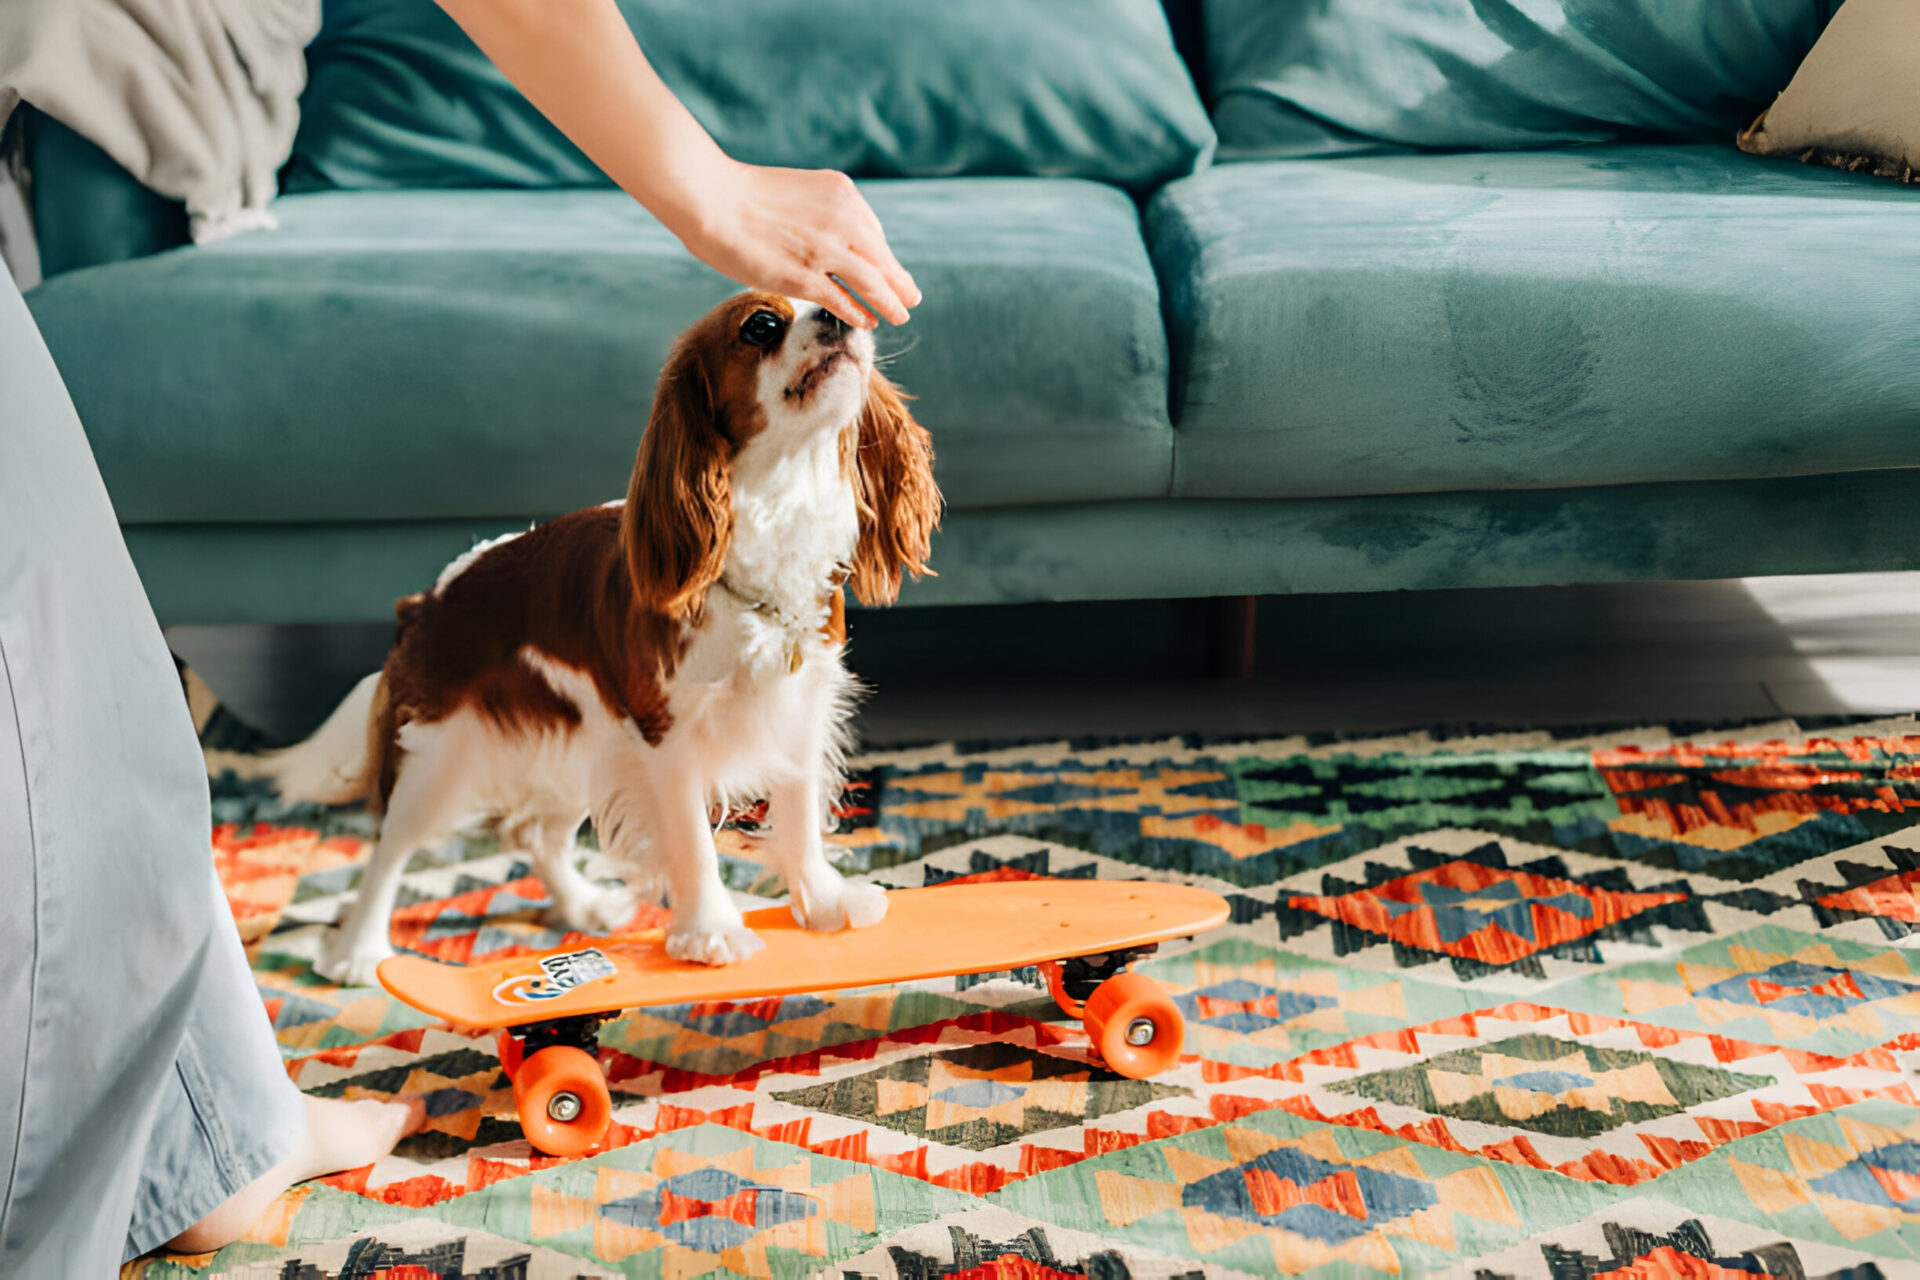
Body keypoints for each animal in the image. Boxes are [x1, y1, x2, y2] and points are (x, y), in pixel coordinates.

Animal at [251, 295, 940, 990]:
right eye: (762, 326)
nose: (841, 315)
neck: (776, 512)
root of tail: (427, 601)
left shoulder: (796, 709)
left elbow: (798, 819)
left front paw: (823, 904)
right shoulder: (666, 736)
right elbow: (692, 841)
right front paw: (711, 933)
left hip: (578, 748)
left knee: (534, 836)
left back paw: (584, 906)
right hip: (441, 757)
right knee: (390, 847)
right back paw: (358, 953)